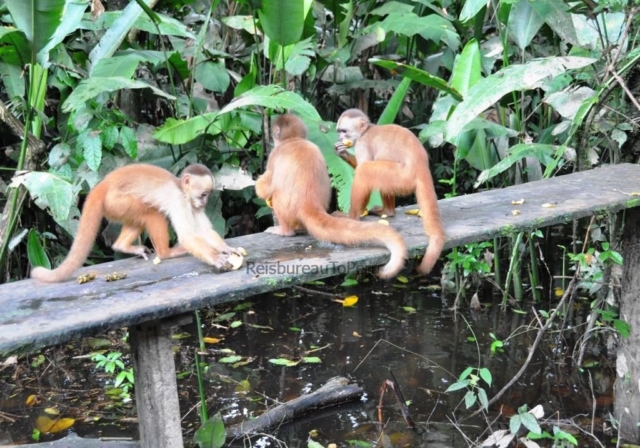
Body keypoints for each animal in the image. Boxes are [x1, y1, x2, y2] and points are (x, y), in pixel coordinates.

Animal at [30, 164, 241, 284]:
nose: (205, 202)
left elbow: (205, 230)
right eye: (204, 194)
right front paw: (216, 258)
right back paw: (166, 253)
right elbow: (188, 236)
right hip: (117, 202)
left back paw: (121, 245)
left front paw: (227, 249)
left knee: (141, 217)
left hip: (115, 208)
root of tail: (103, 185)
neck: (182, 190)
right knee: (152, 212)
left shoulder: (192, 204)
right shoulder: (179, 200)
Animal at [254, 114, 408, 278]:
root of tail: (309, 203)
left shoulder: (274, 155)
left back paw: (285, 231)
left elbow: (264, 187)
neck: (294, 140)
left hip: (287, 209)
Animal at [336, 109, 444, 276]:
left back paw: (352, 217)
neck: (366, 131)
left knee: (365, 170)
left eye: (344, 131)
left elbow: (363, 166)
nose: (340, 138)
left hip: (403, 176)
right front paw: (342, 153)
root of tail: (421, 167)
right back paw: (387, 211)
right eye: (339, 131)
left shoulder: (363, 143)